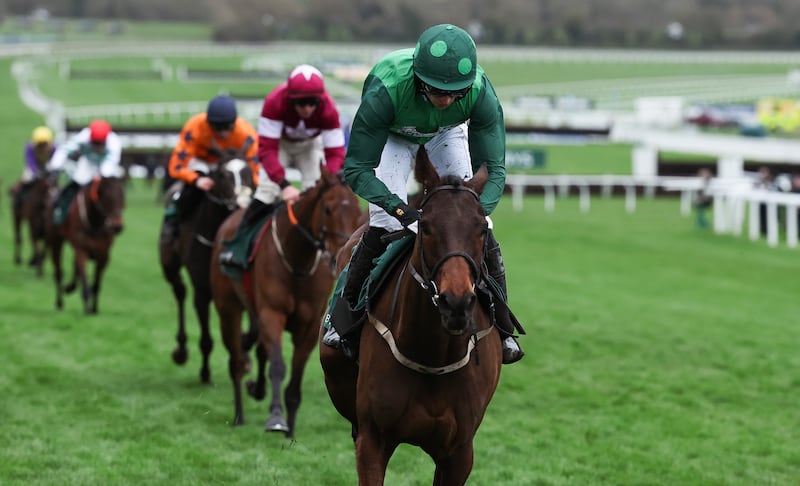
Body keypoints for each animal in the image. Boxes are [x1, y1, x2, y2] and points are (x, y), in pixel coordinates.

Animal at [48, 177, 125, 314]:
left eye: (122, 196)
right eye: (108, 198)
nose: (118, 227)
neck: (95, 223)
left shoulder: (104, 255)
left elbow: (96, 284)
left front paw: (94, 309)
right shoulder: (81, 250)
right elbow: (84, 278)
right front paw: (87, 308)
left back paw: (70, 287)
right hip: (56, 241)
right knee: (58, 272)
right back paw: (60, 302)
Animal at [158, 159, 255, 384]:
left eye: (249, 172)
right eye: (221, 175)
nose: (242, 203)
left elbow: (251, 332)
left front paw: (244, 357)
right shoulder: (202, 290)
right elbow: (206, 339)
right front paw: (205, 373)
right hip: (170, 266)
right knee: (180, 292)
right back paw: (181, 350)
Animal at [212, 166, 362, 436]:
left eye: (357, 209)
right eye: (327, 209)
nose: (339, 255)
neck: (298, 260)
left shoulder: (309, 326)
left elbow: (295, 376)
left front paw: (290, 430)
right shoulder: (272, 313)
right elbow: (278, 366)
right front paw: (276, 417)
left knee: (258, 350)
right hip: (228, 309)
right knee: (236, 361)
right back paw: (239, 414)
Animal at [320, 149, 500, 486]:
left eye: (482, 229)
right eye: (426, 227)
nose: (456, 302)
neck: (432, 355)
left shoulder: (459, 453)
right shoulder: (373, 440)